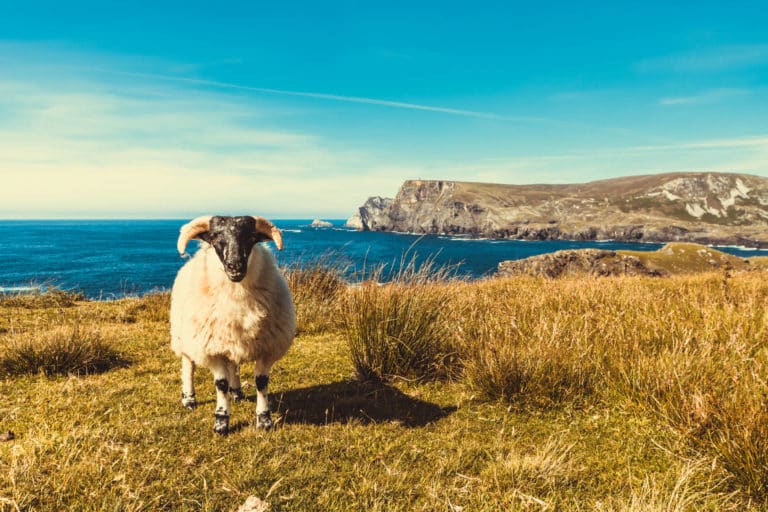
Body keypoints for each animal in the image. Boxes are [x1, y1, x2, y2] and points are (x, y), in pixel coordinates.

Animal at [170, 214, 296, 434]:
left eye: (252, 236)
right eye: (213, 237)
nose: (234, 266)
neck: (237, 297)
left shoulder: (267, 348)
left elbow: (261, 382)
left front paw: (264, 419)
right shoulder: (212, 350)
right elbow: (220, 383)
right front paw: (221, 421)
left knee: (233, 365)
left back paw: (236, 391)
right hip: (184, 337)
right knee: (188, 366)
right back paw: (189, 398)